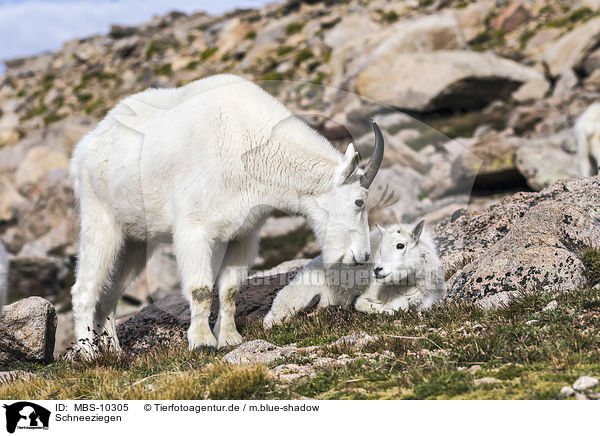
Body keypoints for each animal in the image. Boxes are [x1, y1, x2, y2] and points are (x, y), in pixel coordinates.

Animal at [69, 75, 384, 352]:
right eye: (359, 202)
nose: (362, 256)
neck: (250, 147)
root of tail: (84, 148)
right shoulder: (193, 229)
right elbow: (201, 289)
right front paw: (201, 342)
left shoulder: (244, 234)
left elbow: (230, 289)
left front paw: (229, 338)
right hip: (101, 221)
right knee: (84, 289)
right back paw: (89, 354)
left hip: (135, 241)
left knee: (110, 294)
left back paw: (114, 352)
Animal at [264, 221, 446, 328]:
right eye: (380, 249)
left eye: (400, 245)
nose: (377, 270)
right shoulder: (366, 297)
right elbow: (379, 307)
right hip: (297, 296)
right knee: (272, 320)